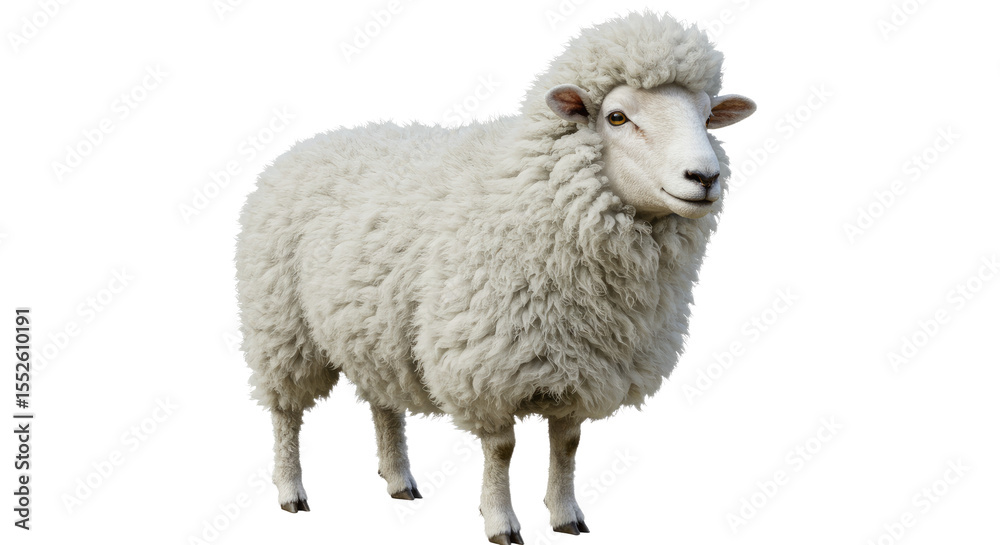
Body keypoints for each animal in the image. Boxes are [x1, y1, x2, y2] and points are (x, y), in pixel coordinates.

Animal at [236, 11, 755, 544]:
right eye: (617, 117)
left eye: (706, 116)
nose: (704, 177)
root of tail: (311, 143)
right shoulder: (485, 366)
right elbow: (502, 450)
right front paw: (500, 521)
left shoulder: (584, 366)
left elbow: (567, 444)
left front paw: (566, 515)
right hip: (280, 325)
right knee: (285, 413)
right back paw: (291, 491)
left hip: (372, 328)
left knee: (383, 402)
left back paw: (399, 480)